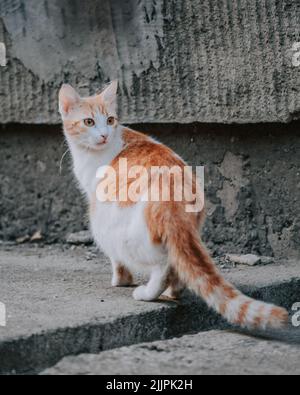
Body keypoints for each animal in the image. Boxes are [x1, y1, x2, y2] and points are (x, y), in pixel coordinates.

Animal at [59, 81, 288, 332]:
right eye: (89, 122)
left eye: (110, 120)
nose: (104, 135)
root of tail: (173, 201)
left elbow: (118, 263)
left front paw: (121, 281)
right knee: (179, 265)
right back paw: (173, 293)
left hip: (105, 223)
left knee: (162, 265)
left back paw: (148, 293)